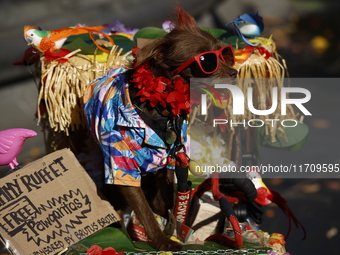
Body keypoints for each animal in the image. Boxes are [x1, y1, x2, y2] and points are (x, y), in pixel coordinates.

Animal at [83, 3, 236, 251]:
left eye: (224, 54)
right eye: (206, 61)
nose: (235, 72)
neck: (161, 112)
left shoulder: (166, 166)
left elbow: (165, 205)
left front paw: (171, 230)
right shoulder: (123, 170)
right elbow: (144, 210)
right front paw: (163, 241)